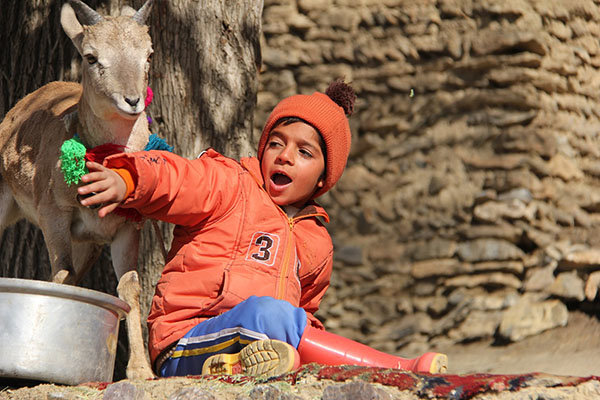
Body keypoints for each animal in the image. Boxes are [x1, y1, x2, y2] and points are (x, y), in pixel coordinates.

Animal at [0, 0, 157, 382]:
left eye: (148, 53)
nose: (132, 100)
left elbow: (129, 285)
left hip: (87, 243)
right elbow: (61, 273)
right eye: (91, 56)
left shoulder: (127, 226)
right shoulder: (53, 212)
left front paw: (140, 371)